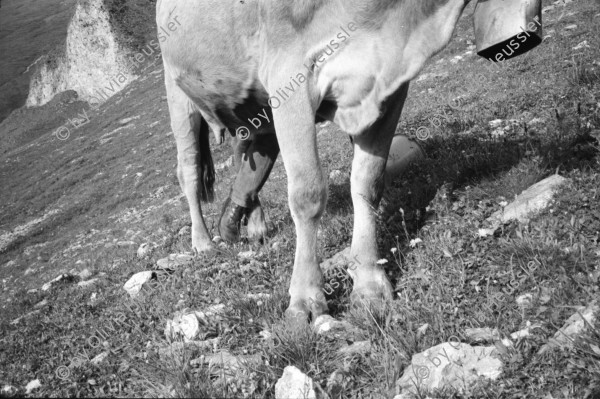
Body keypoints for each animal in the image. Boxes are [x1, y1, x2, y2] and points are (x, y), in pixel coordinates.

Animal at [158, 0, 474, 320]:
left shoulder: (390, 85)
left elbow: (368, 183)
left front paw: (369, 284)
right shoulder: (289, 72)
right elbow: (307, 195)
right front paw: (306, 298)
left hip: (246, 104)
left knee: (249, 153)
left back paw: (253, 226)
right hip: (179, 97)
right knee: (189, 172)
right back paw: (202, 241)